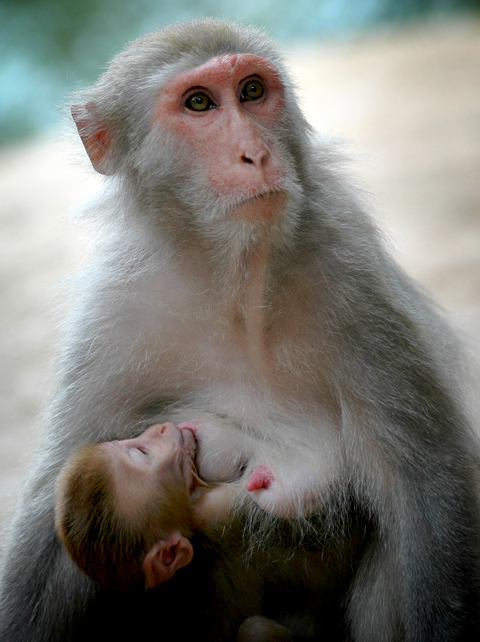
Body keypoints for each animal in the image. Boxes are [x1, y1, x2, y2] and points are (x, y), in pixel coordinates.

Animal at [0, 16, 480, 640]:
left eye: (252, 91)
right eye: (199, 103)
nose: (255, 152)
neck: (238, 280)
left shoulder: (352, 278)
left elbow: (426, 487)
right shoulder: (113, 314)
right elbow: (50, 522)